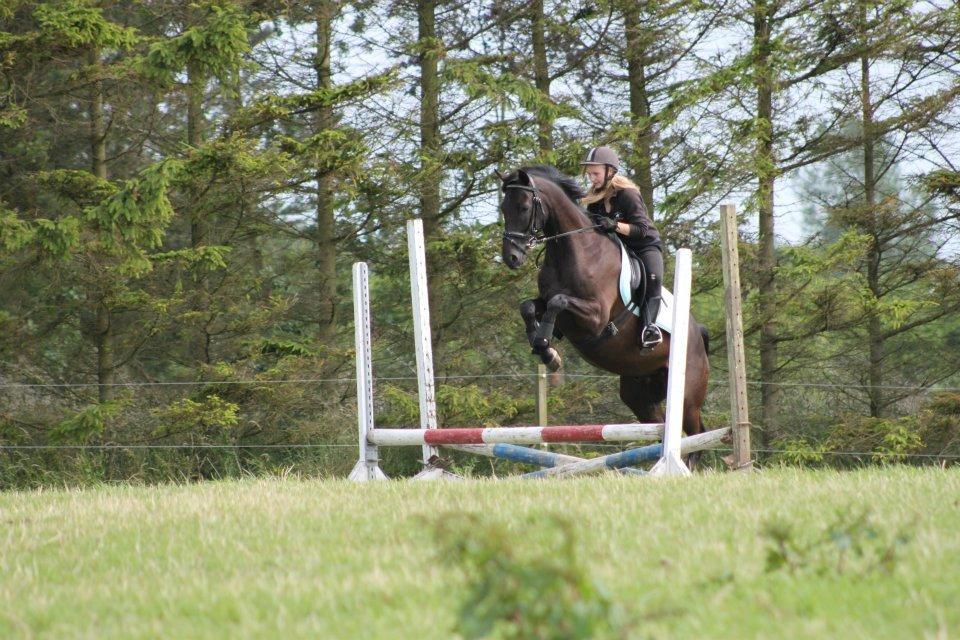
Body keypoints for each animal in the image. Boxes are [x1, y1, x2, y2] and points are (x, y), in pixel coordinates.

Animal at [498, 168, 708, 450]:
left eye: (523, 207)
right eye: (503, 208)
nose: (511, 258)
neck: (575, 250)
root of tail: (698, 334)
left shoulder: (595, 317)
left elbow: (558, 302)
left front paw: (545, 345)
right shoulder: (550, 305)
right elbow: (528, 306)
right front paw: (546, 350)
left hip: (686, 397)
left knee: (697, 435)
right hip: (639, 392)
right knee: (662, 425)